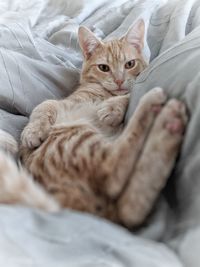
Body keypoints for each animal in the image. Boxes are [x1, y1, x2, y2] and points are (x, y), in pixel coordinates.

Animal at [0, 19, 188, 228]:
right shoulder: (66, 102)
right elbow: (44, 105)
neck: (105, 93)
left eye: (129, 64)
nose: (119, 80)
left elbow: (128, 96)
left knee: (119, 182)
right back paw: (164, 115)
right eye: (104, 68)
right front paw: (33, 131)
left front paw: (113, 107)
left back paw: (164, 115)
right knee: (120, 186)